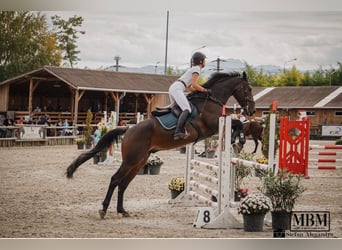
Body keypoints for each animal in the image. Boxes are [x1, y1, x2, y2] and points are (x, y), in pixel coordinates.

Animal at [65, 71, 255, 219]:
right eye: (248, 89)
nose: (252, 110)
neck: (211, 99)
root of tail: (129, 129)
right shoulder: (213, 124)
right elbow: (237, 122)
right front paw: (239, 139)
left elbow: (238, 123)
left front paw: (238, 140)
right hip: (131, 160)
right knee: (115, 180)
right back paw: (104, 210)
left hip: (139, 162)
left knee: (123, 183)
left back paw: (122, 210)